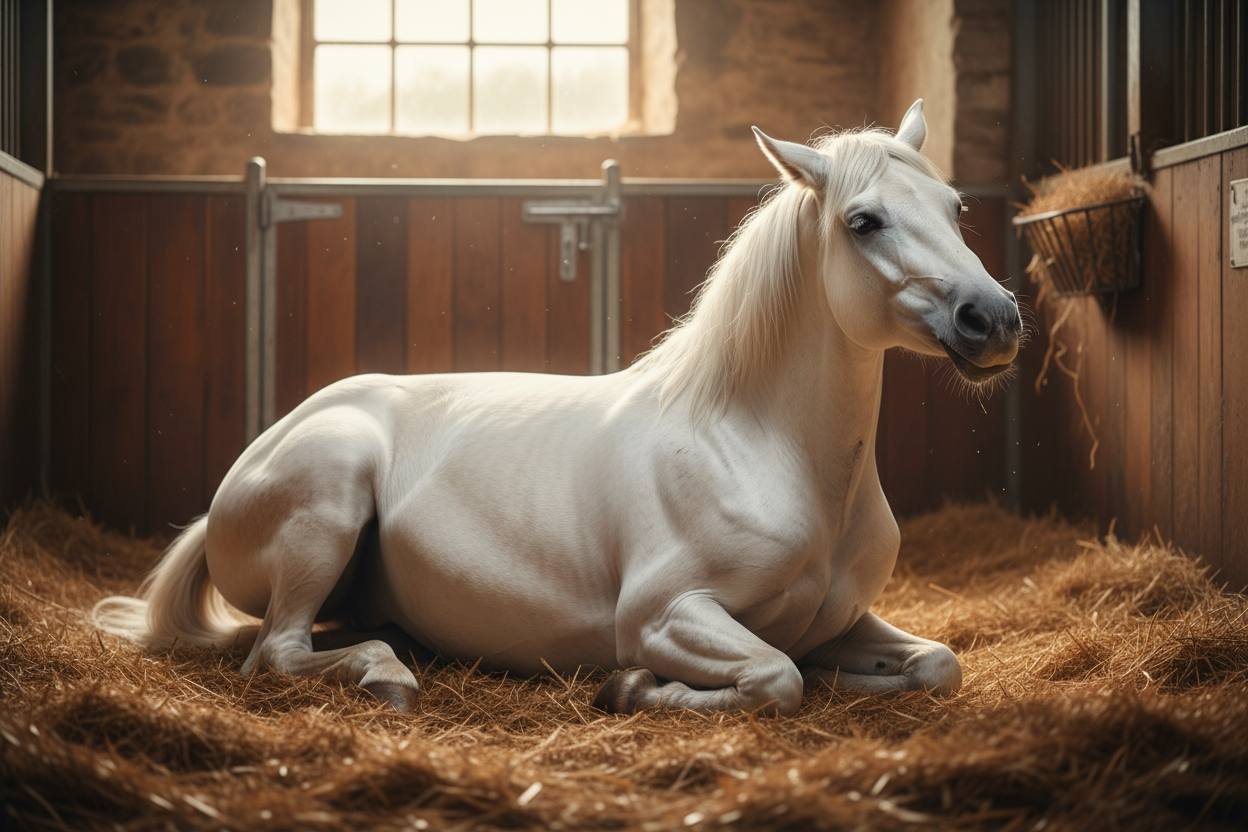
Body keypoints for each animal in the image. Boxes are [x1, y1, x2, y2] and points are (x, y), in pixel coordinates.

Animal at [93, 100, 1022, 716]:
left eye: (955, 208)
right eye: (863, 222)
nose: (995, 318)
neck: (760, 448)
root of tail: (252, 462)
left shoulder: (844, 619)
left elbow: (935, 663)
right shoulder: (667, 613)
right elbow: (776, 677)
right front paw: (637, 686)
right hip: (331, 489)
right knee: (278, 652)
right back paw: (387, 675)